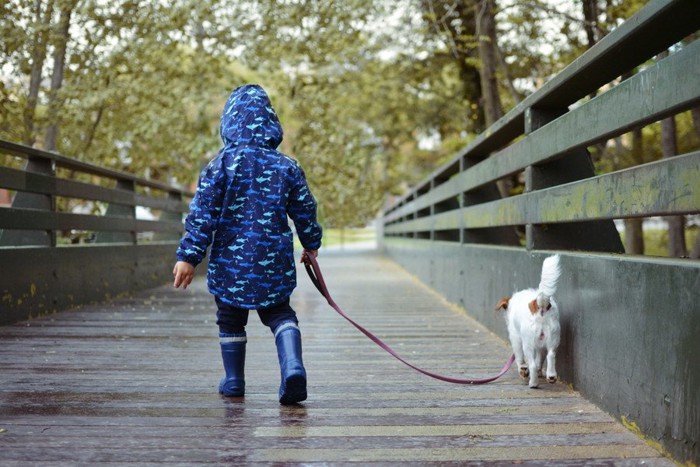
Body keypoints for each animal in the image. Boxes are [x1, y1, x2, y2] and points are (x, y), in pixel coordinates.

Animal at [494, 256, 560, 388]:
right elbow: (540, 359)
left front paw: (523, 369)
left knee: (532, 365)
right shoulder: (540, 346)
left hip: (528, 343)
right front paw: (540, 372)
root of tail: (539, 304)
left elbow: (519, 357)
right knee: (551, 355)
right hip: (552, 338)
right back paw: (551, 376)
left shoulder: (516, 338)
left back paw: (533, 383)